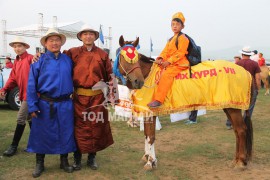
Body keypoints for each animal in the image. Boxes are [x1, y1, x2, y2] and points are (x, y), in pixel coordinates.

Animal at [115, 35, 254, 171]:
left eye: (137, 57)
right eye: (123, 57)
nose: (138, 81)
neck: (148, 75)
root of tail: (245, 71)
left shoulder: (150, 113)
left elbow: (151, 136)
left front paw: (151, 162)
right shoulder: (146, 113)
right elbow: (146, 135)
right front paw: (147, 157)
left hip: (233, 107)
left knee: (241, 130)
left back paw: (240, 162)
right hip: (229, 105)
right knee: (236, 130)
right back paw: (236, 160)